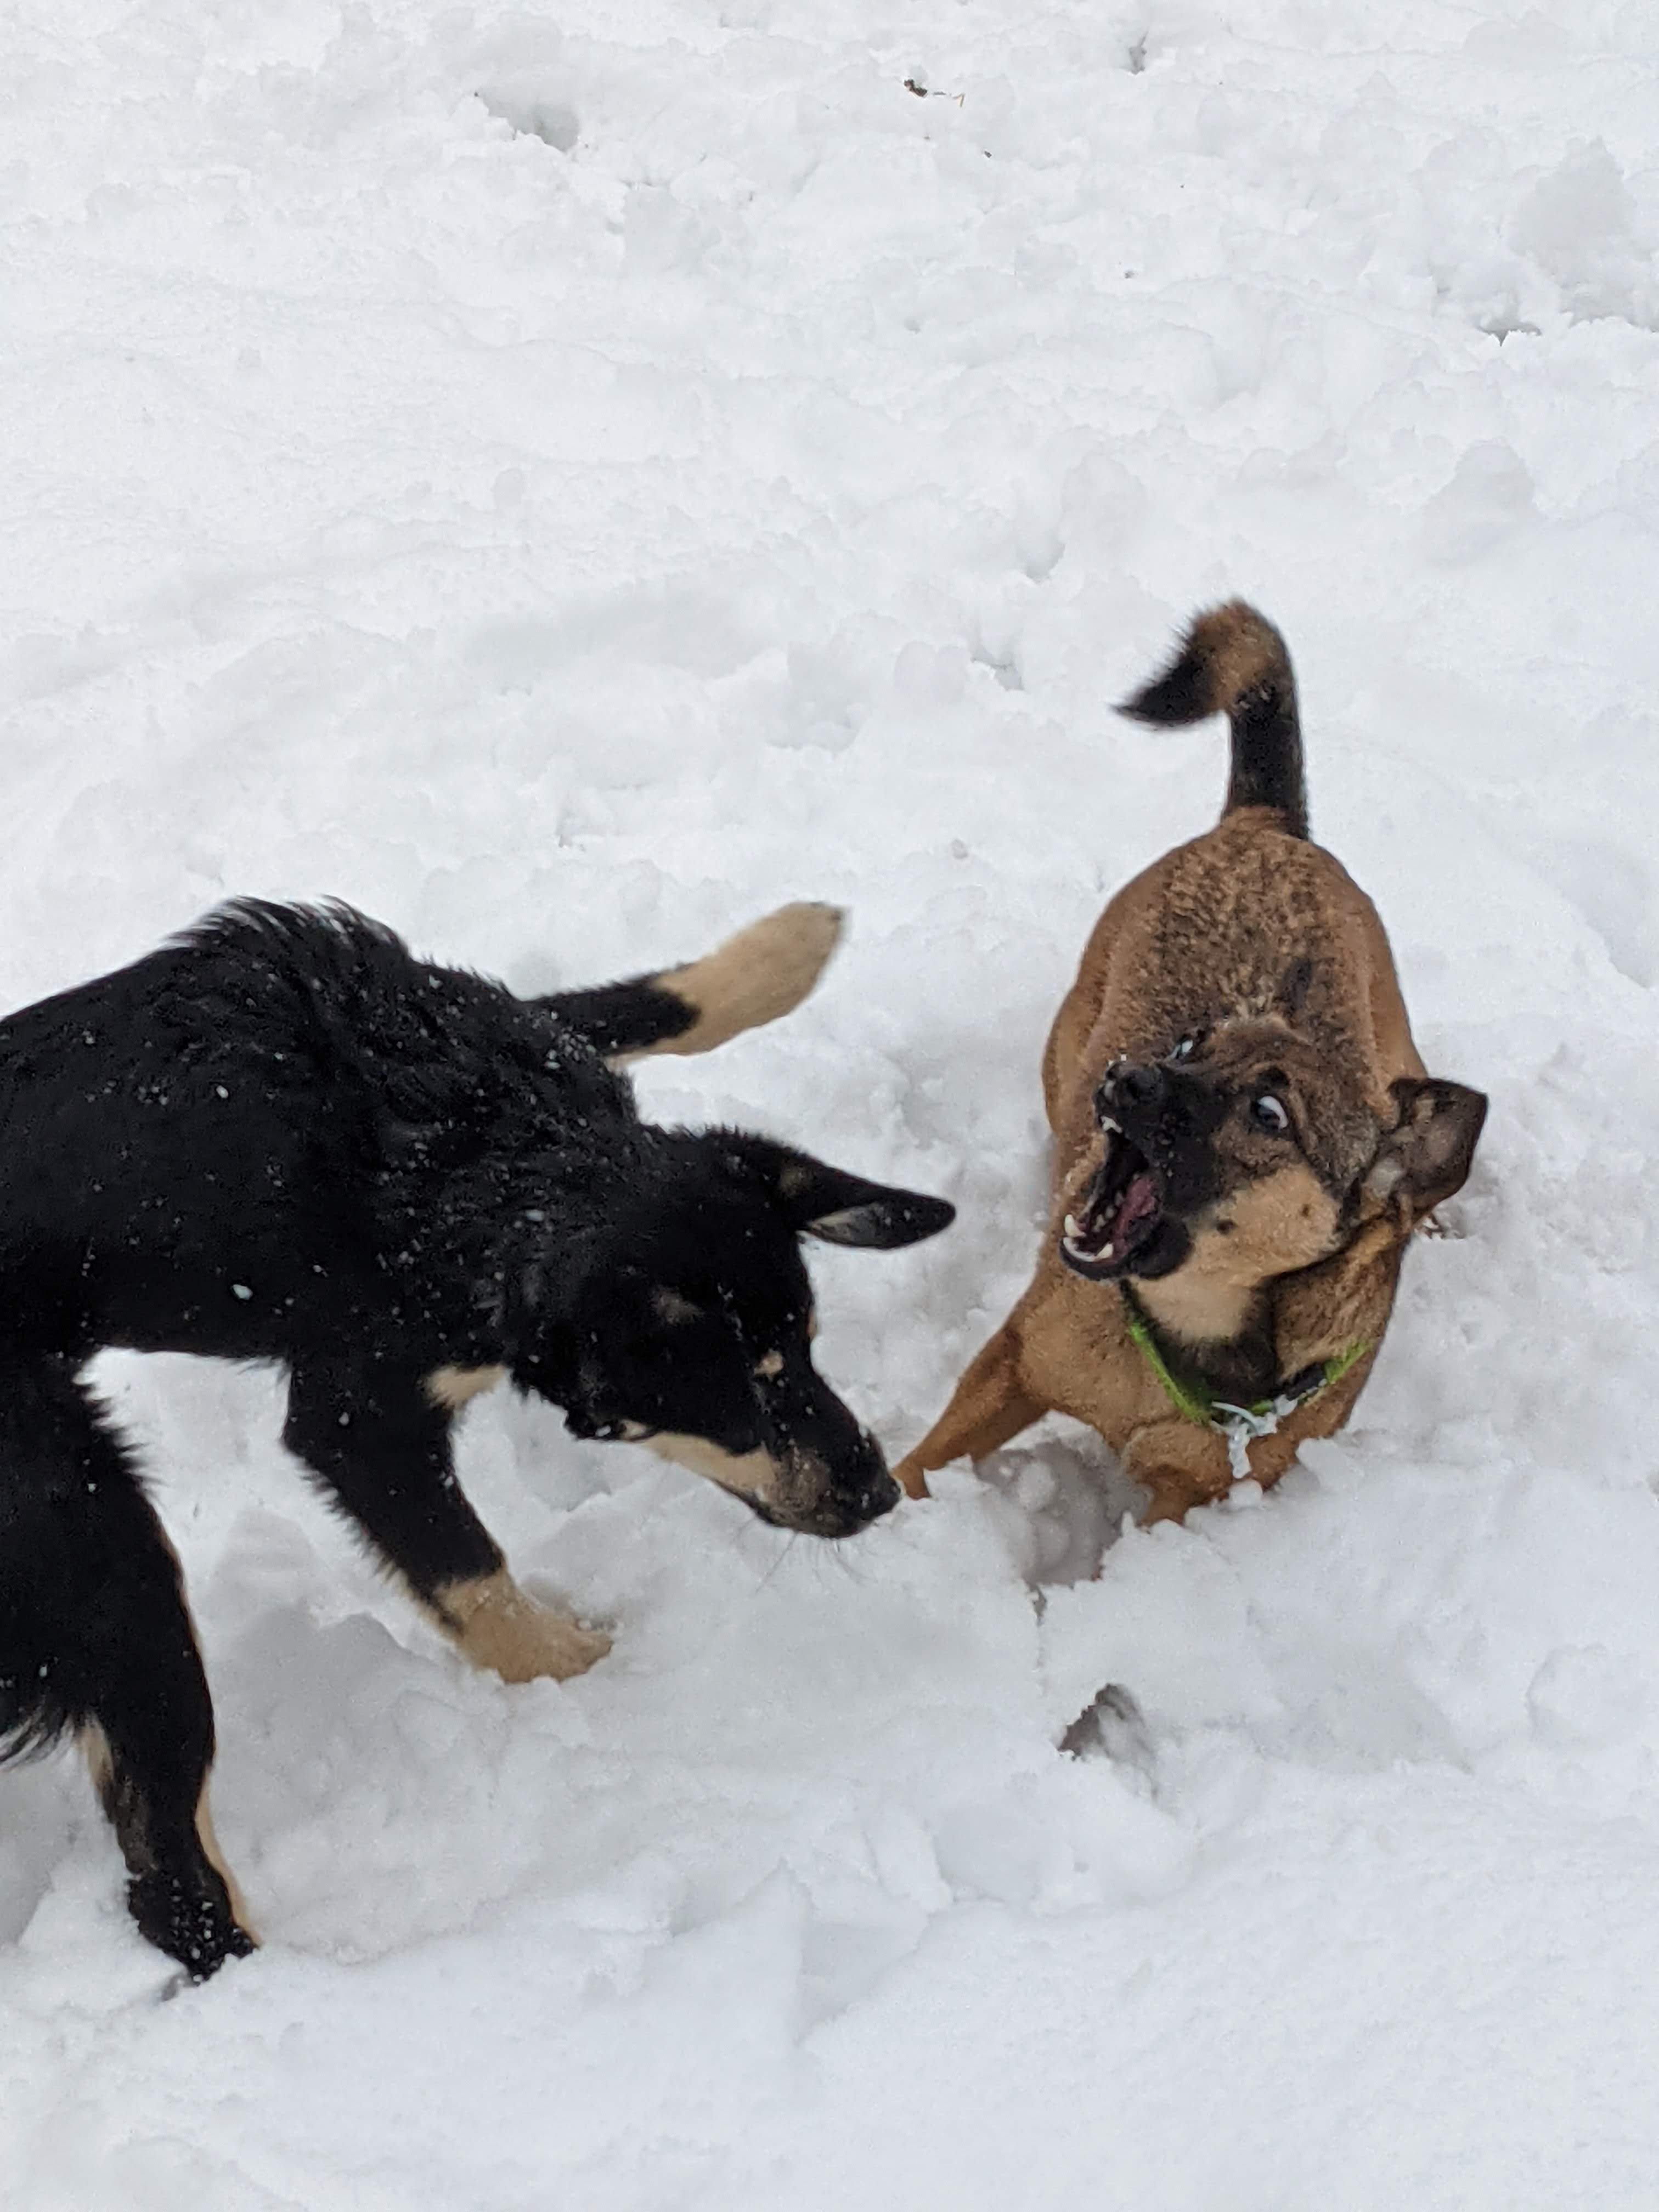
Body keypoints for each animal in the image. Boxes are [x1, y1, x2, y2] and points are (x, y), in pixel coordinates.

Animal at [0, 897, 953, 1979]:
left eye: (805, 1346)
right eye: (736, 1398)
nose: (878, 1490)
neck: (485, 1150)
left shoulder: (512, 1025)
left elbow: (642, 1003)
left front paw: (792, 942)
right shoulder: (358, 1420)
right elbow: (475, 1578)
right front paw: (596, 1675)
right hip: (107, 1555)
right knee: (172, 1888)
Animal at [895, 601, 1486, 1527]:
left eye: (1269, 1114)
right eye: (1186, 1048)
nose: (1129, 1078)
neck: (1198, 1339)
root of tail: (1267, 824)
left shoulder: (1195, 1494)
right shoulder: (1015, 1361)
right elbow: (919, 1467)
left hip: (1398, 1044)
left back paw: (1427, 1213)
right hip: (1069, 1041)